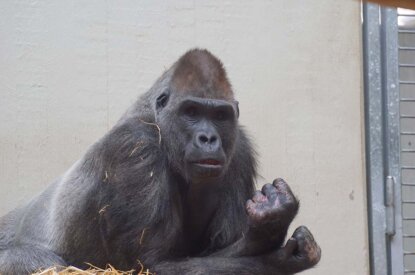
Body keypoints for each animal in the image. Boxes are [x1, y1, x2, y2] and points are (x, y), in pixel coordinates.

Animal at [0, 49, 322, 275]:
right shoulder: (136, 149)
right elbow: (150, 264)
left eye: (220, 115)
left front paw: (269, 227)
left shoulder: (239, 149)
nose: (208, 138)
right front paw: (278, 253)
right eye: (191, 112)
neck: (158, 121)